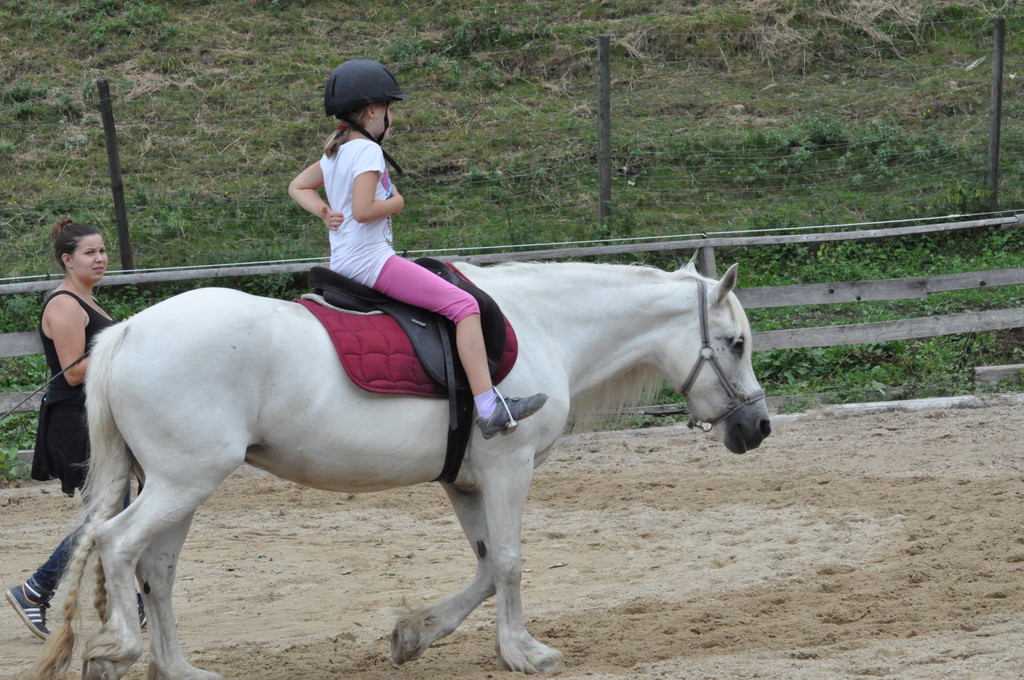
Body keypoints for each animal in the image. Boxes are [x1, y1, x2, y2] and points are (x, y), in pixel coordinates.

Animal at [34, 260, 771, 680]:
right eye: (735, 344)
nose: (758, 427)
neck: (541, 324)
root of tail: (126, 331)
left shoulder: (465, 480)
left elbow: (484, 566)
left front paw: (415, 634)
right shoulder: (507, 467)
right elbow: (509, 562)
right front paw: (523, 652)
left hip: (179, 486)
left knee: (155, 571)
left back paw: (179, 669)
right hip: (184, 482)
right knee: (117, 546)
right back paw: (118, 651)